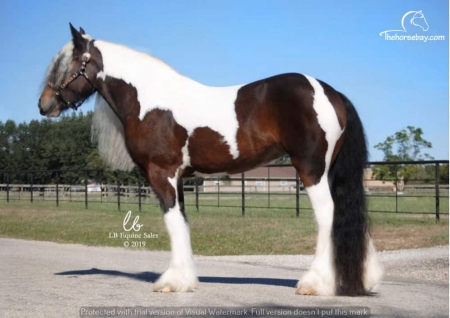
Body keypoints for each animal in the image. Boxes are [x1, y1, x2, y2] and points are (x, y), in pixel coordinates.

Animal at [37, 24, 384, 296]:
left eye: (68, 65)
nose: (44, 104)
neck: (150, 101)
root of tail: (330, 92)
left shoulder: (161, 173)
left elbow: (173, 223)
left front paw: (172, 282)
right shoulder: (178, 178)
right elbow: (182, 222)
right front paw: (185, 278)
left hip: (311, 169)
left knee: (327, 216)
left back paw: (314, 283)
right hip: (329, 171)